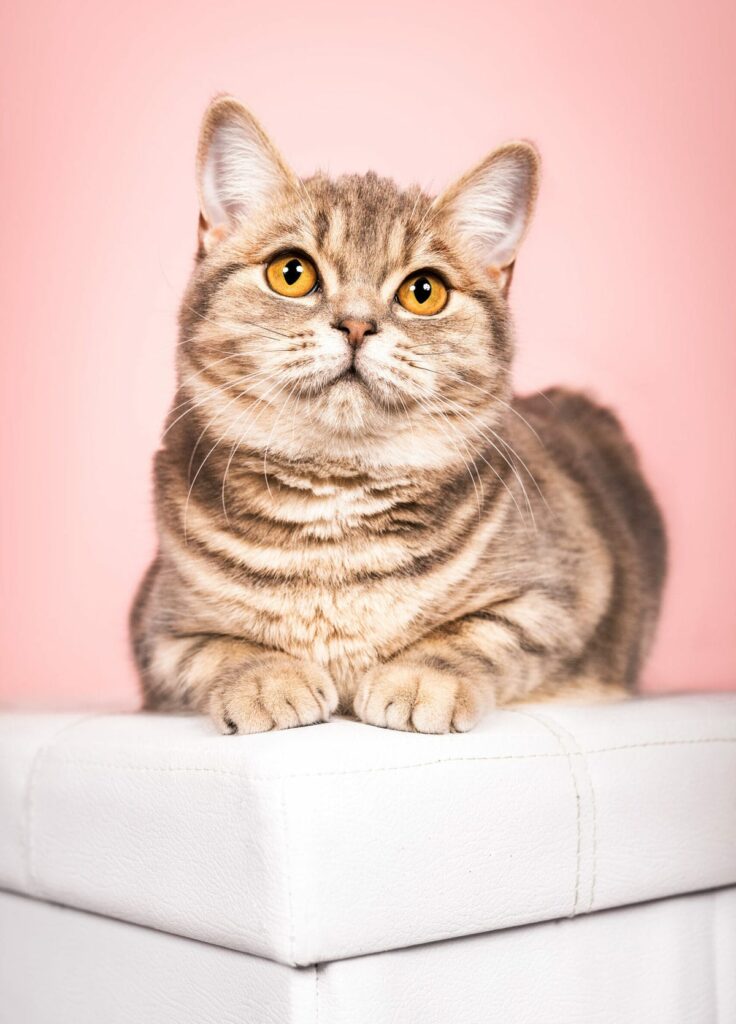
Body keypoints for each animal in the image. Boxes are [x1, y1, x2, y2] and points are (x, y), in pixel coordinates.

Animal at [131, 96, 667, 733]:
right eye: (292, 273)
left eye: (423, 291)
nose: (357, 324)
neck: (337, 507)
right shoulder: (157, 627)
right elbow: (219, 646)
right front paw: (266, 679)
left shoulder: (558, 596)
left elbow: (474, 634)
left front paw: (419, 679)